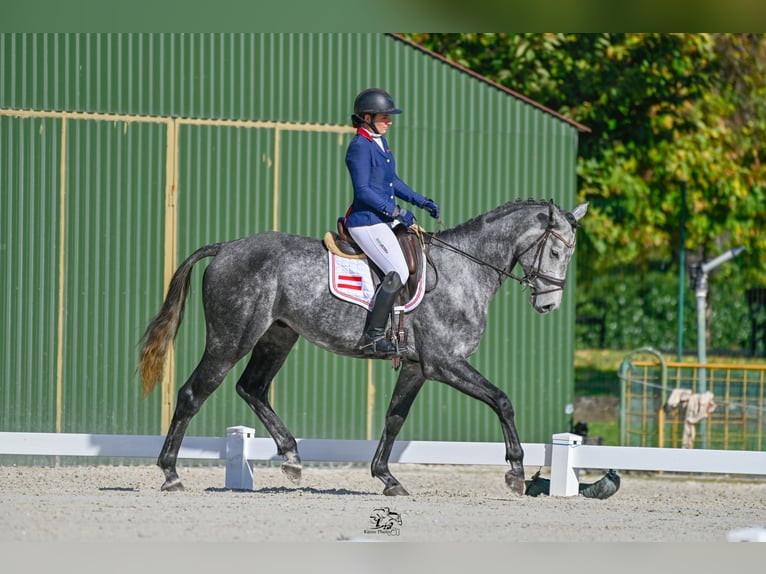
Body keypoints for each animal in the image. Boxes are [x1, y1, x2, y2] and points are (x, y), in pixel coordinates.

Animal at [138, 198, 592, 496]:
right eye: (555, 250)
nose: (548, 304)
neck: (466, 268)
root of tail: (226, 248)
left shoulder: (416, 366)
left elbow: (394, 419)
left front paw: (387, 478)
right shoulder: (444, 362)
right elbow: (502, 400)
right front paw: (515, 470)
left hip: (277, 336)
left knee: (252, 388)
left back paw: (292, 458)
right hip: (230, 339)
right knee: (193, 394)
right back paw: (171, 475)